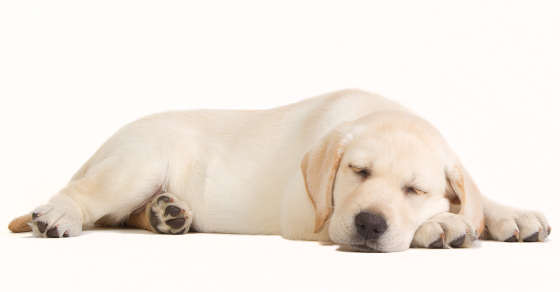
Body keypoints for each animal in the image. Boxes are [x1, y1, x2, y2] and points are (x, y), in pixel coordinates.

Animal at [7, 89, 552, 251]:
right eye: (357, 171)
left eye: (414, 189)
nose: (369, 225)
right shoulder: (307, 217)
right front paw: (440, 225)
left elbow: (479, 197)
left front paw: (512, 215)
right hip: (136, 164)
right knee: (86, 198)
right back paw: (56, 216)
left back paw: (167, 213)